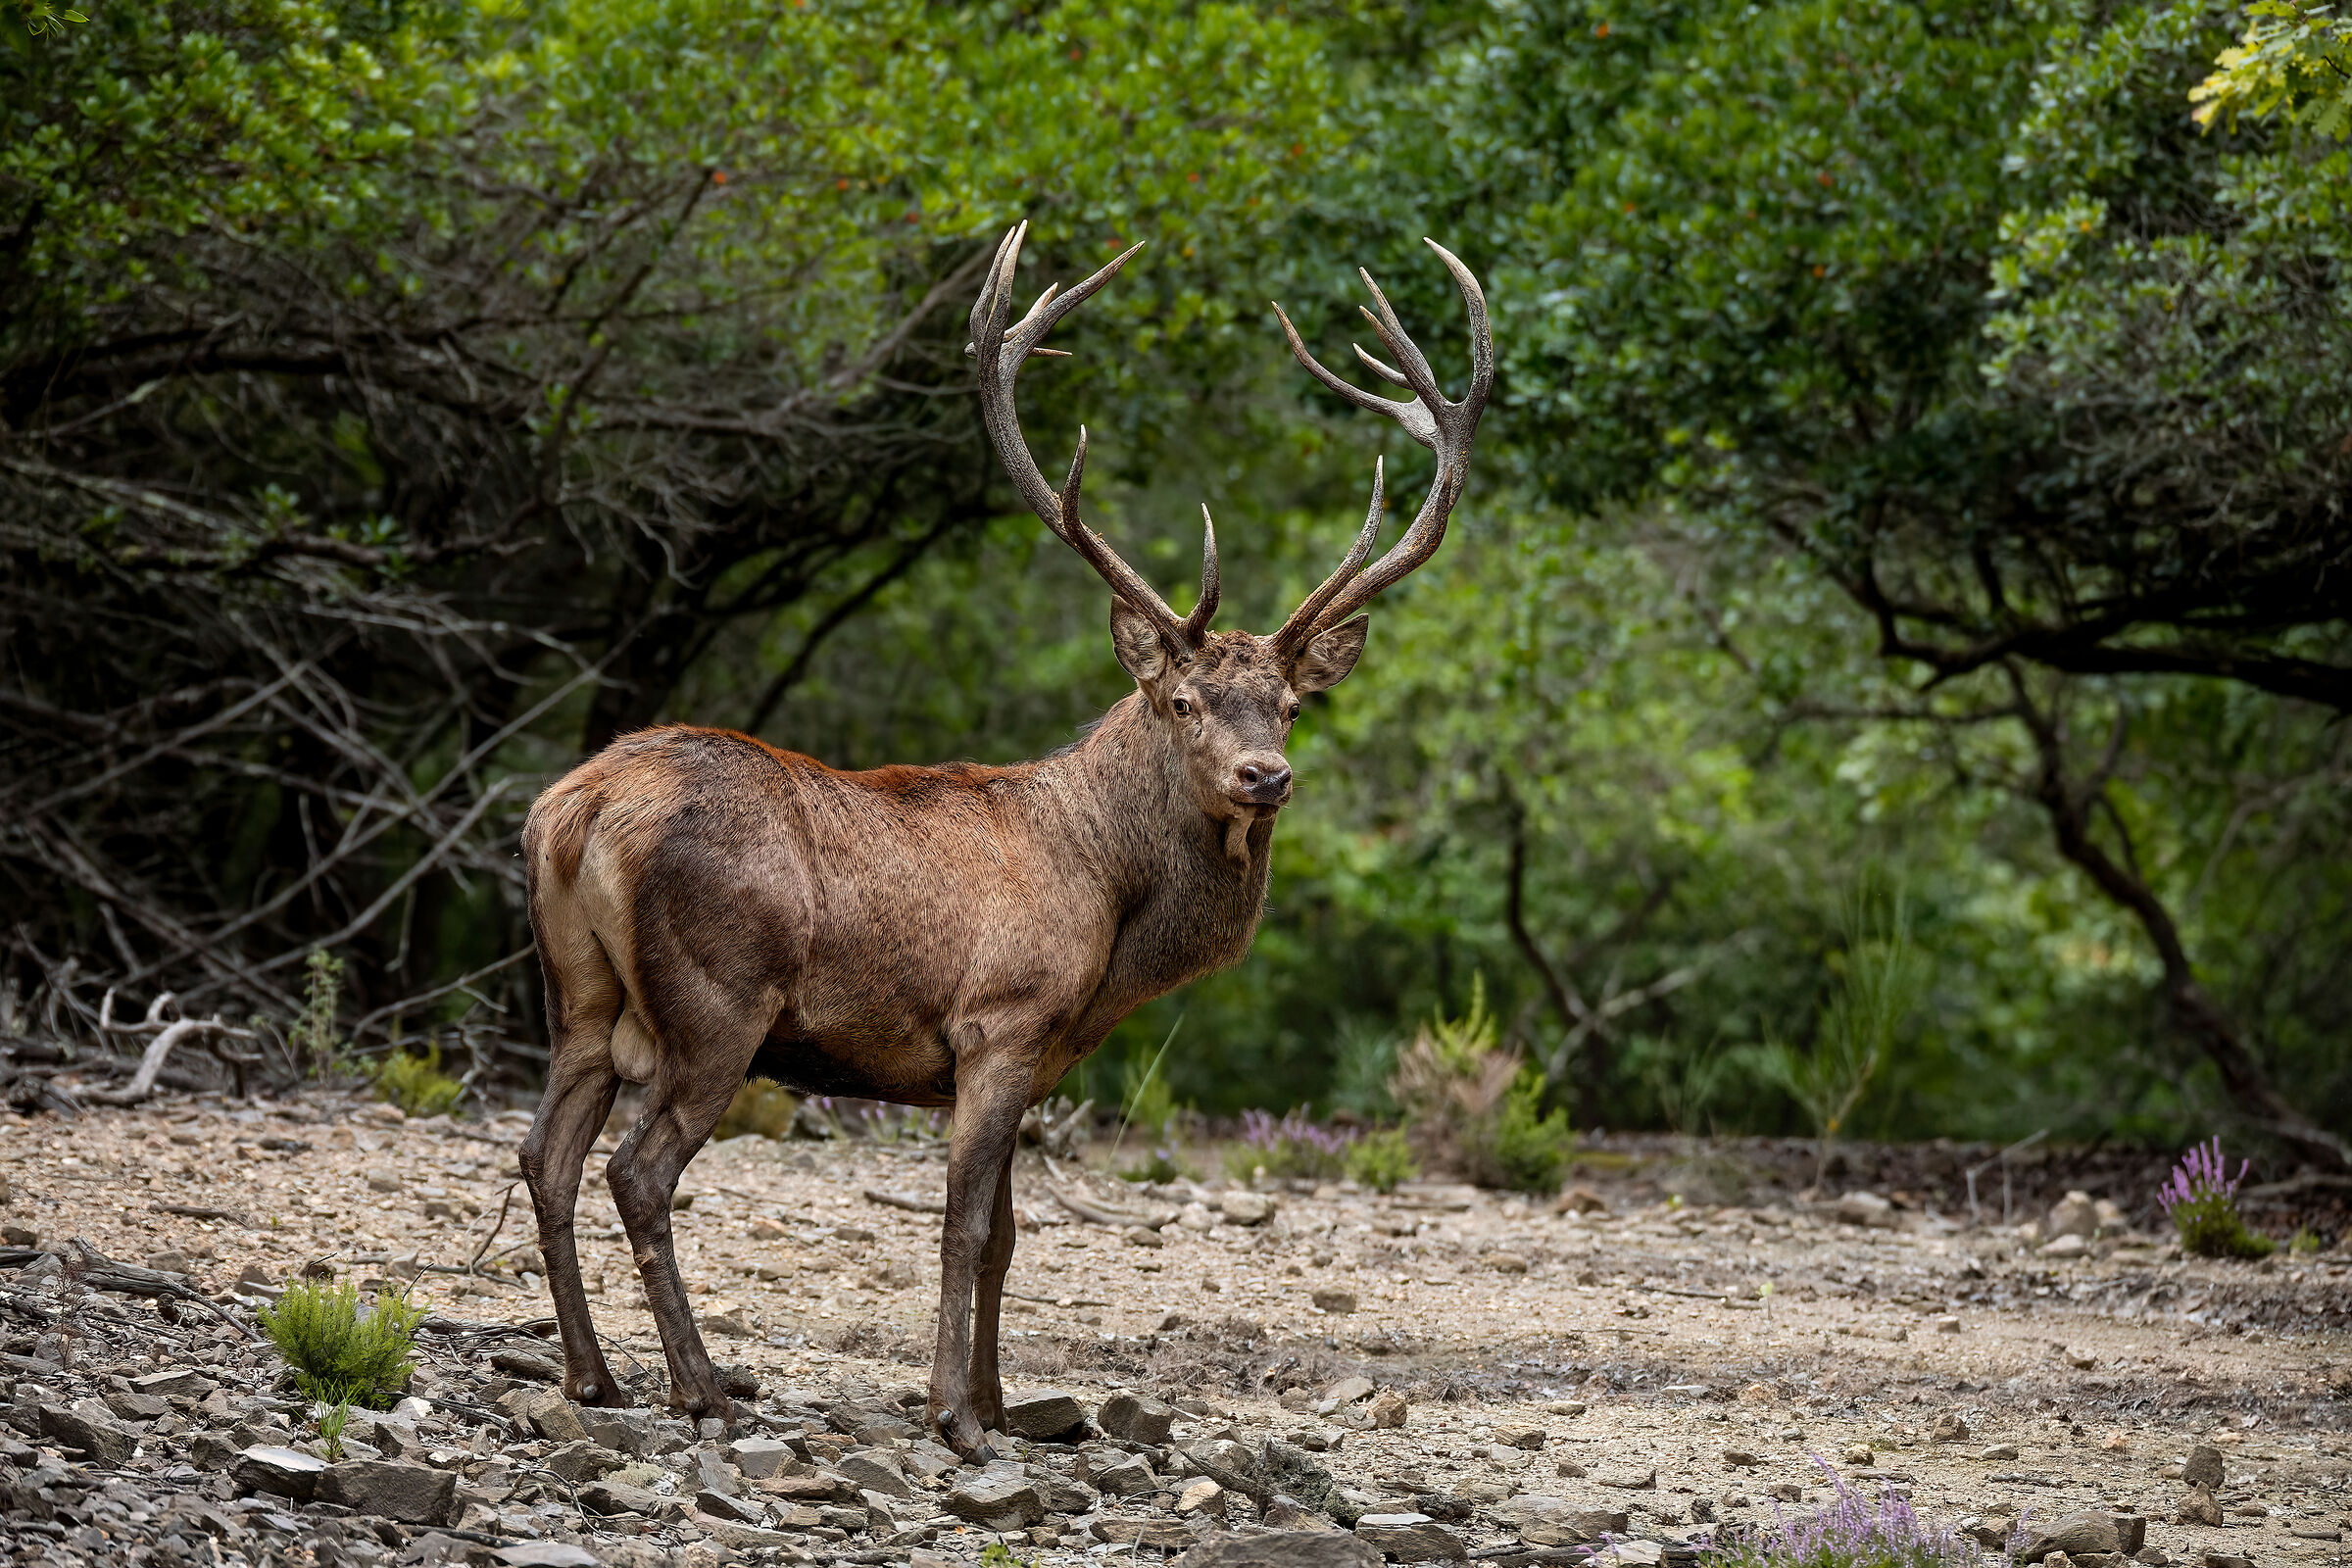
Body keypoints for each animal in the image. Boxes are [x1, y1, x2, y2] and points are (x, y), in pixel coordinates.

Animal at [515, 220, 1492, 1455]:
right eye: (1184, 701)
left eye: (1290, 705)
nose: (1265, 777)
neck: (1113, 926)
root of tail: (573, 807)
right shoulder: (1000, 1021)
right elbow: (966, 1225)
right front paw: (954, 1416)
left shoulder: (1041, 1054)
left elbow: (1014, 1234)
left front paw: (1001, 1404)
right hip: (716, 998)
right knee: (638, 1171)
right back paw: (702, 1388)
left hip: (581, 992)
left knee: (544, 1153)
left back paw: (592, 1376)